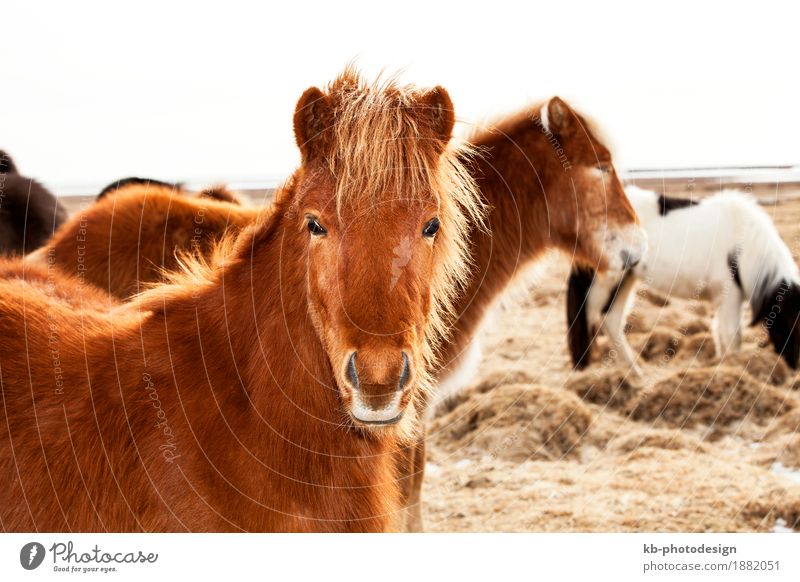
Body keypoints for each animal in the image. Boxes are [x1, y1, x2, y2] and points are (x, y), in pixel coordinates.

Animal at [564, 189, 800, 376]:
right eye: (791, 322)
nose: (795, 369)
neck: (743, 238)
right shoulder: (729, 296)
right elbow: (732, 337)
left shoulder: (723, 299)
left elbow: (721, 333)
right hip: (604, 283)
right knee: (589, 319)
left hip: (625, 281)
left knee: (611, 321)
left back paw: (635, 373)